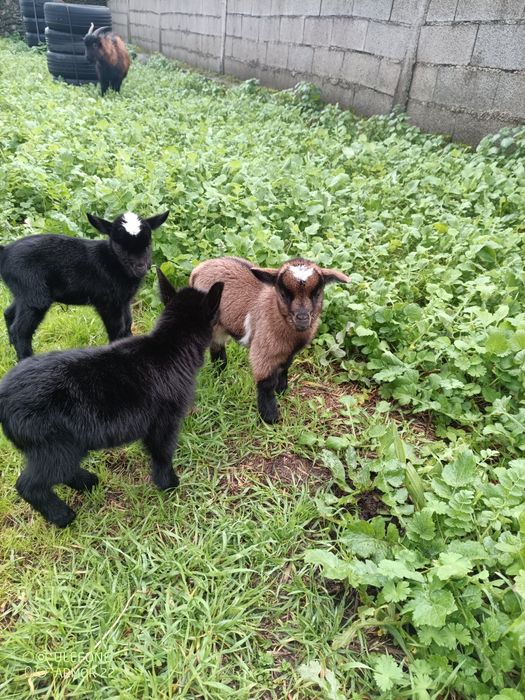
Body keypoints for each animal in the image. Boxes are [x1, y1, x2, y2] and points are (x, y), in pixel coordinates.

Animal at [0, 210, 169, 361]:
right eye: (120, 247)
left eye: (148, 244)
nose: (141, 267)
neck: (111, 262)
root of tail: (5, 251)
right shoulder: (107, 302)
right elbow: (117, 329)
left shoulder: (123, 300)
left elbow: (127, 324)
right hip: (34, 293)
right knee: (20, 330)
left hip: (24, 292)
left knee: (9, 313)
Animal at [0, 270, 224, 528]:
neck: (170, 345)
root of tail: (3, 396)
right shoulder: (165, 423)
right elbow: (162, 454)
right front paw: (168, 484)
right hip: (54, 447)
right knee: (29, 485)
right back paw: (63, 516)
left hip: (63, 447)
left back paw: (87, 482)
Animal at [190, 257, 349, 423]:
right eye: (284, 294)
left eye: (316, 293)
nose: (302, 318)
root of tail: (198, 269)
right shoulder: (263, 349)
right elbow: (266, 383)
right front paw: (269, 417)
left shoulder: (289, 352)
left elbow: (284, 368)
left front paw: (281, 390)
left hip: (219, 328)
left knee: (217, 348)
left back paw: (219, 374)